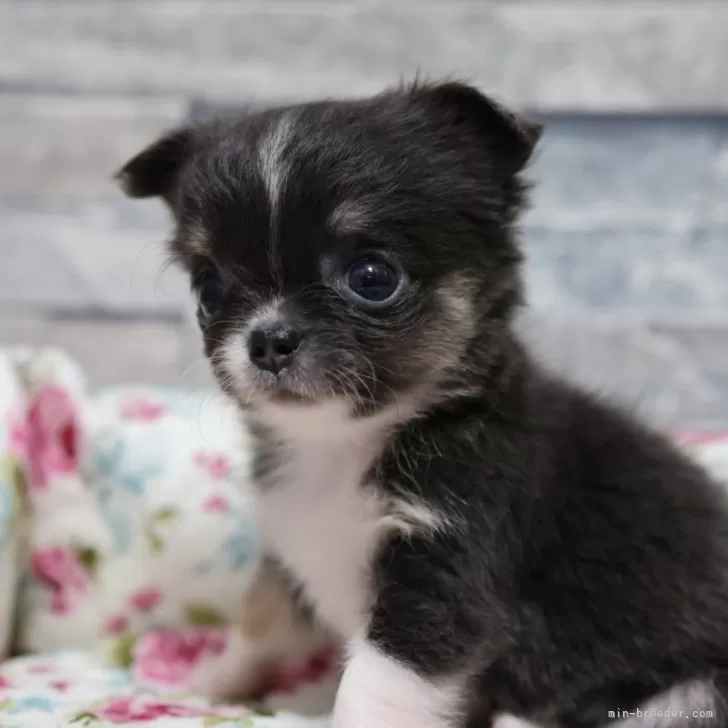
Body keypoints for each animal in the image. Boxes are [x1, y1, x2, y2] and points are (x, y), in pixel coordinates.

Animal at [116, 82, 728, 724]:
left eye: (372, 276)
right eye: (209, 289)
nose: (268, 339)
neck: (342, 445)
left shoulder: (440, 580)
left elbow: (372, 688)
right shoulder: (292, 549)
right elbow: (260, 619)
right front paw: (207, 685)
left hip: (692, 690)